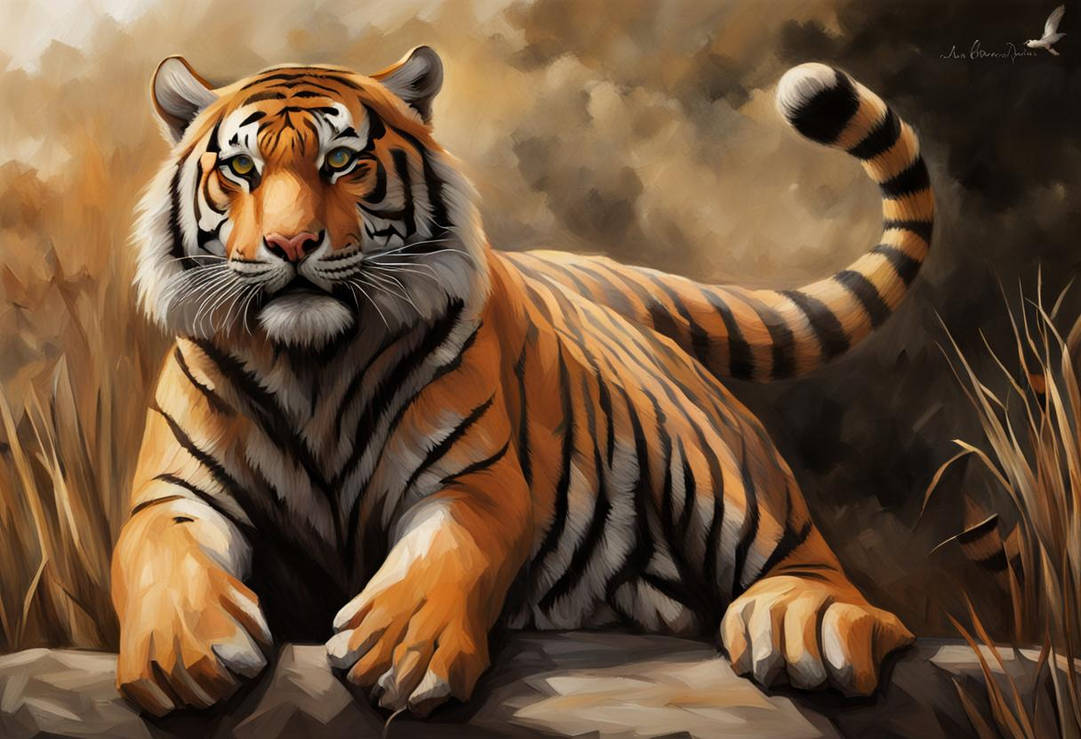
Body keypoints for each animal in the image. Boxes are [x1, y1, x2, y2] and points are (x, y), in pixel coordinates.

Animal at [112, 46, 931, 717]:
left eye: (342, 161)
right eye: (240, 169)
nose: (290, 243)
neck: (314, 362)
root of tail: (592, 270)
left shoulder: (473, 479)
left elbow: (452, 549)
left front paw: (399, 648)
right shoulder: (174, 489)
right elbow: (156, 552)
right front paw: (184, 648)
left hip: (721, 472)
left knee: (819, 569)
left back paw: (806, 626)